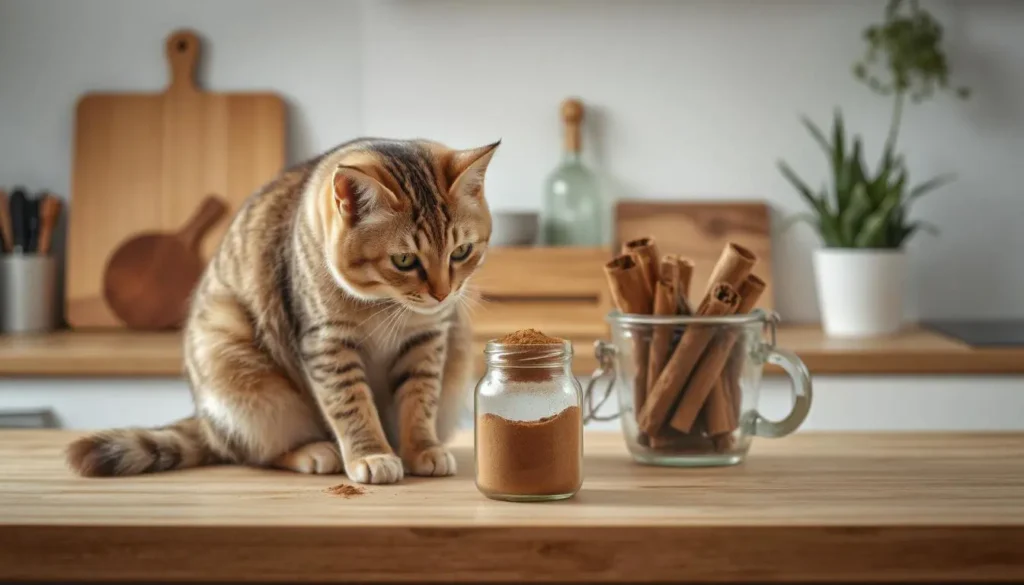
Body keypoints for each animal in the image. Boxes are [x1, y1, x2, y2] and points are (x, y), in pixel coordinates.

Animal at [65, 137, 499, 485]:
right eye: (405, 259)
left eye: (461, 251)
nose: (443, 294)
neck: (383, 305)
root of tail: (207, 422)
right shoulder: (326, 343)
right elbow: (352, 405)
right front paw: (372, 453)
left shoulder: (428, 339)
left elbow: (418, 401)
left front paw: (420, 448)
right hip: (244, 372)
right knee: (257, 452)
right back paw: (315, 452)